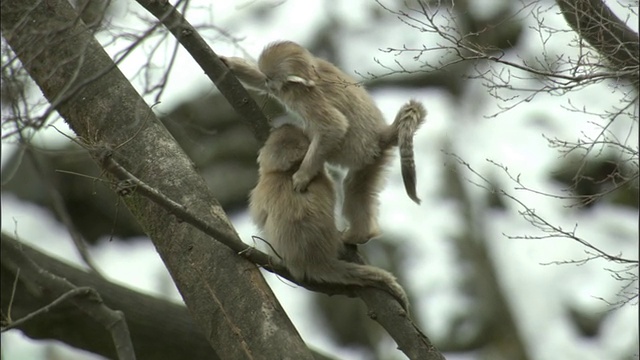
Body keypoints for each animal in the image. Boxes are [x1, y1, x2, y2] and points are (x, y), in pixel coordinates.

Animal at [222, 41, 428, 245]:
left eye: (270, 78)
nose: (268, 83)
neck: (310, 76)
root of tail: (382, 135)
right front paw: (229, 63)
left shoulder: (306, 98)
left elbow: (334, 126)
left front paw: (302, 176)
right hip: (374, 161)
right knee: (356, 188)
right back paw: (362, 235)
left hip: (370, 155)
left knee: (353, 187)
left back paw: (356, 236)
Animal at [250, 124, 410, 310]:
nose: (285, 125)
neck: (289, 172)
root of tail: (317, 260)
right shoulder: (324, 179)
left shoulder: (262, 189)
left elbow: (260, 217)